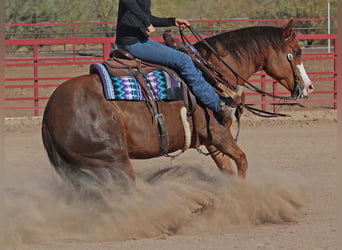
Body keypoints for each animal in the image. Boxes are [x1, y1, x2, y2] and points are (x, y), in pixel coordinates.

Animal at [42, 20, 312, 191]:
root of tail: (49, 114)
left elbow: (228, 169)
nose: (309, 87)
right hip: (112, 161)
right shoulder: (220, 135)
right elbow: (242, 161)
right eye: (297, 52)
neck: (213, 70)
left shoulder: (211, 140)